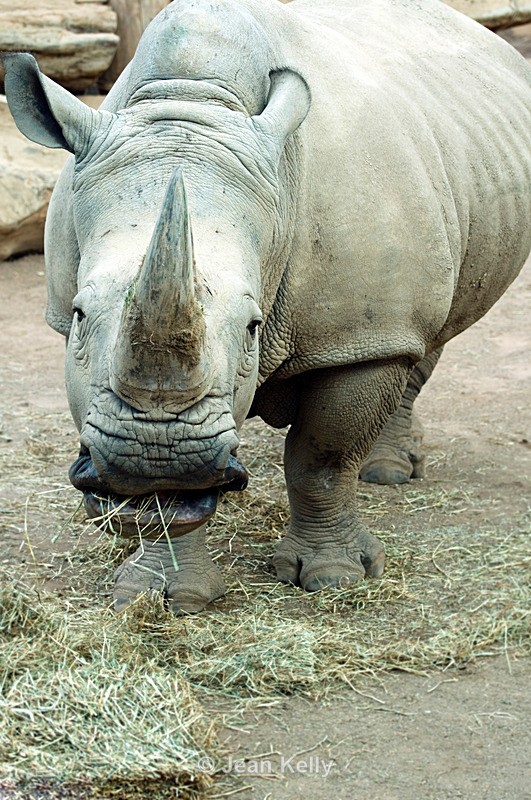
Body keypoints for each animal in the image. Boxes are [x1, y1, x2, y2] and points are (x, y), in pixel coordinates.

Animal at [4, 0, 530, 613]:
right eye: (81, 316)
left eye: (254, 328)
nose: (156, 451)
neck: (192, 105)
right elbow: (165, 504)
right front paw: (160, 595)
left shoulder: (360, 333)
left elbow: (322, 457)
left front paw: (332, 577)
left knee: (429, 334)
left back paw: (386, 473)